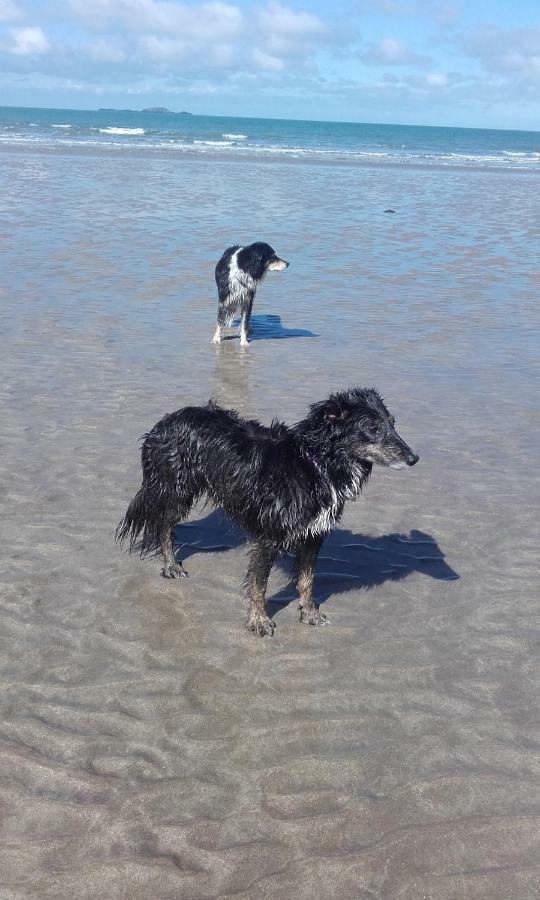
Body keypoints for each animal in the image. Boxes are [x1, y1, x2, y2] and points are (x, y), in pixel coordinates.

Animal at [116, 390, 418, 636]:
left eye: (392, 423)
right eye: (372, 428)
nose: (414, 458)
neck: (315, 465)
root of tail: (164, 422)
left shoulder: (314, 534)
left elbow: (307, 580)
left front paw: (309, 613)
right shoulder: (268, 535)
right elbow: (259, 584)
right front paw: (259, 621)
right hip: (175, 489)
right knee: (163, 524)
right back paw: (170, 566)